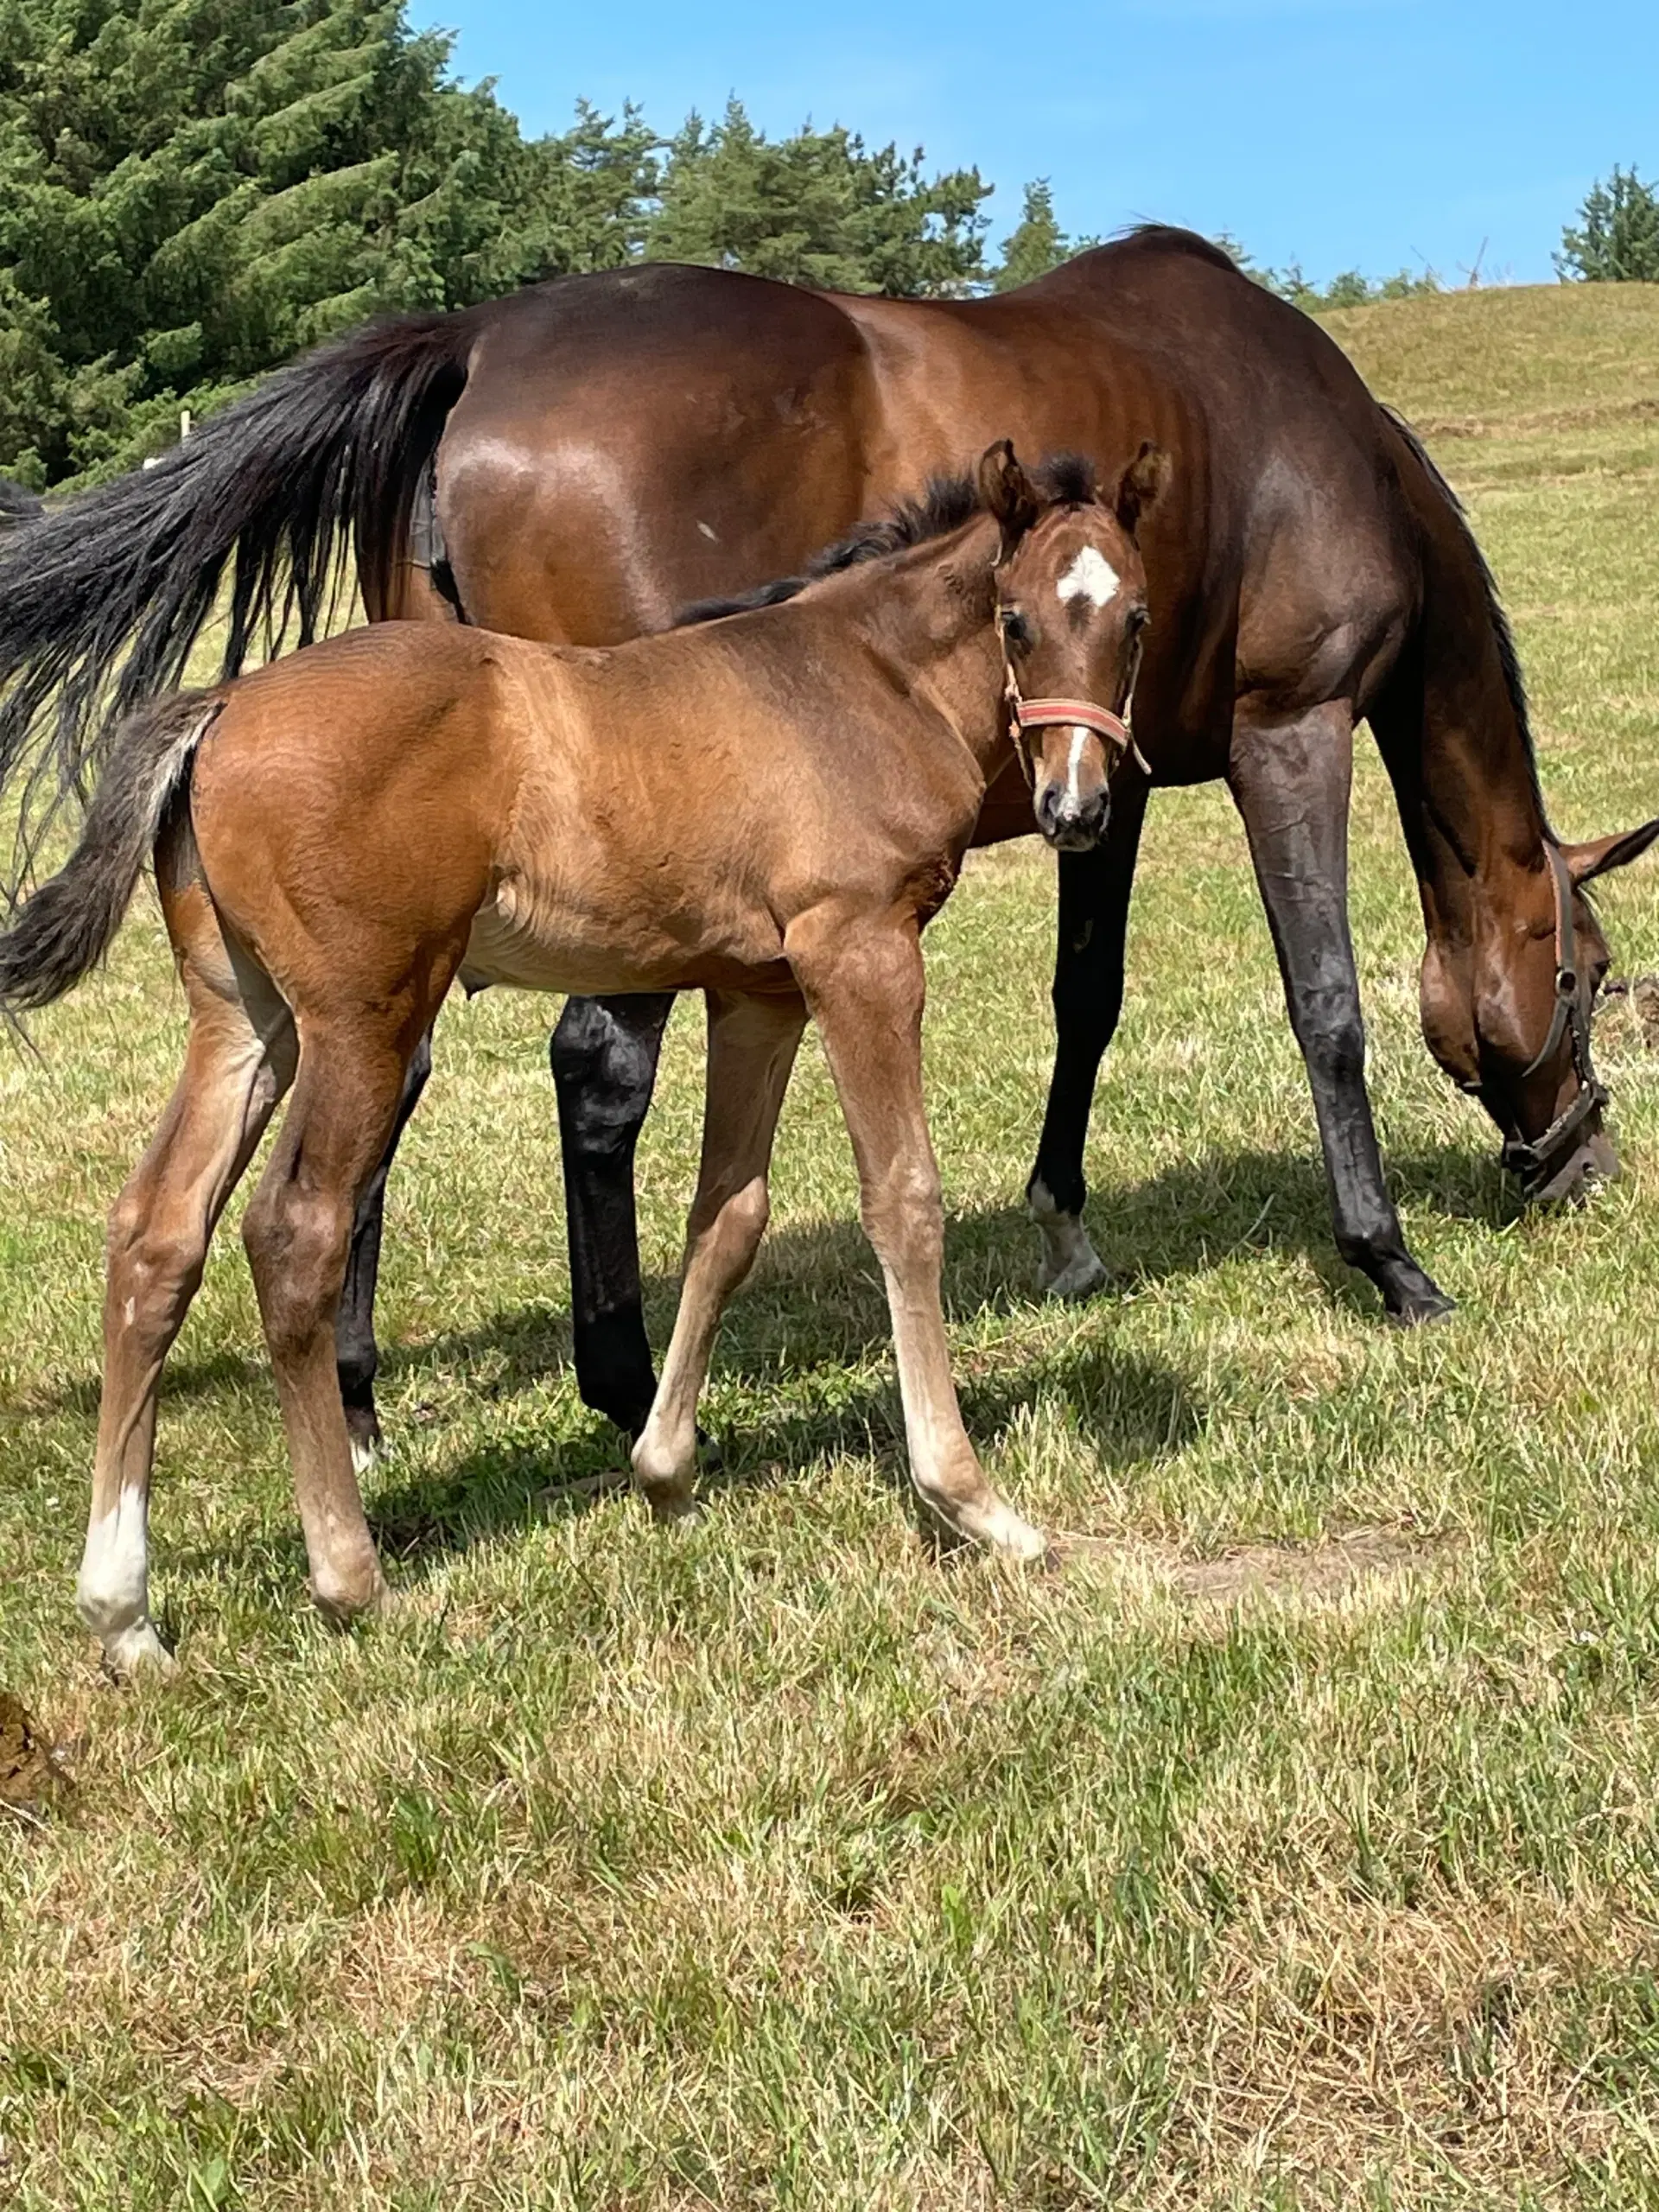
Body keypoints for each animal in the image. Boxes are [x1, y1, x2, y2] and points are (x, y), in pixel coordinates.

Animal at [0, 215, 1654, 1442]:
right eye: (1587, 977)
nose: (1583, 1163)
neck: (1315, 439)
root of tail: (472, 343)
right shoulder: (1288, 734)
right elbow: (1328, 1003)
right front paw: (1388, 1259)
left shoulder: (1105, 779)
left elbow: (1089, 998)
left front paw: (1066, 1228)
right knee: (590, 1071)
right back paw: (617, 1382)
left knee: (385, 1090)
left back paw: (356, 1394)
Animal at [0, 440, 1167, 1663]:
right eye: (1015, 619)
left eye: (1134, 617)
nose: (1078, 806)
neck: (863, 678)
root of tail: (220, 703)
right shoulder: (861, 953)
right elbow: (903, 1198)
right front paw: (972, 1500)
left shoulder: (758, 994)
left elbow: (726, 1218)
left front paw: (666, 1474)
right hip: (364, 1016)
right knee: (293, 1232)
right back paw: (348, 1575)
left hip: (245, 1019)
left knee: (157, 1232)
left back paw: (123, 1611)